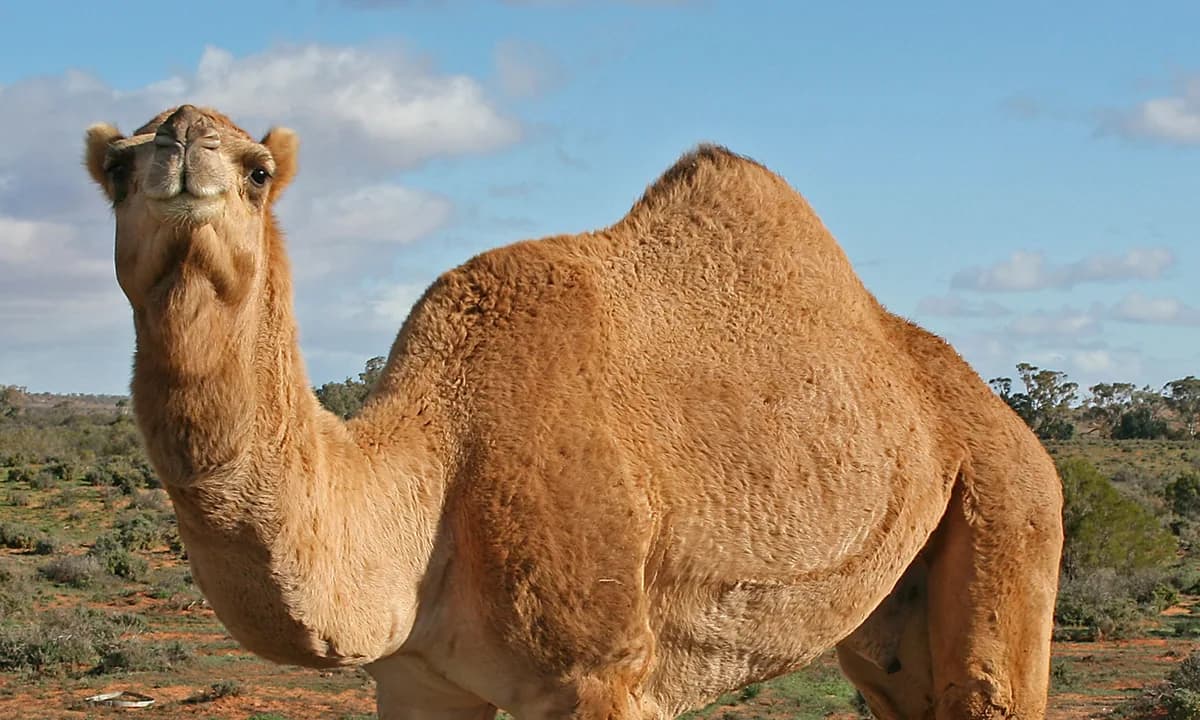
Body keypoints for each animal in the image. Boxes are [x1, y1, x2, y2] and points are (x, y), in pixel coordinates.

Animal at [83, 104, 1063, 719]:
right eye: (117, 167)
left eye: (257, 171)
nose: (182, 141)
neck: (435, 467)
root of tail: (1009, 424)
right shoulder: (416, 679)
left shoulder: (598, 671)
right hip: (892, 606)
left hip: (1010, 507)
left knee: (991, 688)